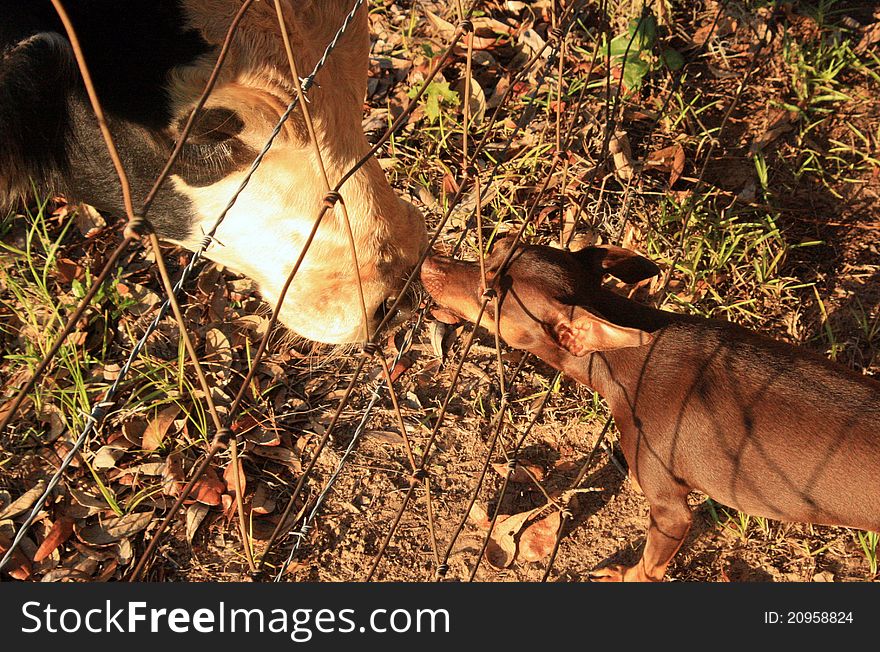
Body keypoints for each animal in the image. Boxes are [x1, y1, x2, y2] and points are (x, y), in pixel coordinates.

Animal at [422, 238, 880, 580]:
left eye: (490, 296)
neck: (628, 355)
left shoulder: (670, 510)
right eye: (497, 245)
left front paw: (621, 575)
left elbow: (648, 567)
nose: (428, 261)